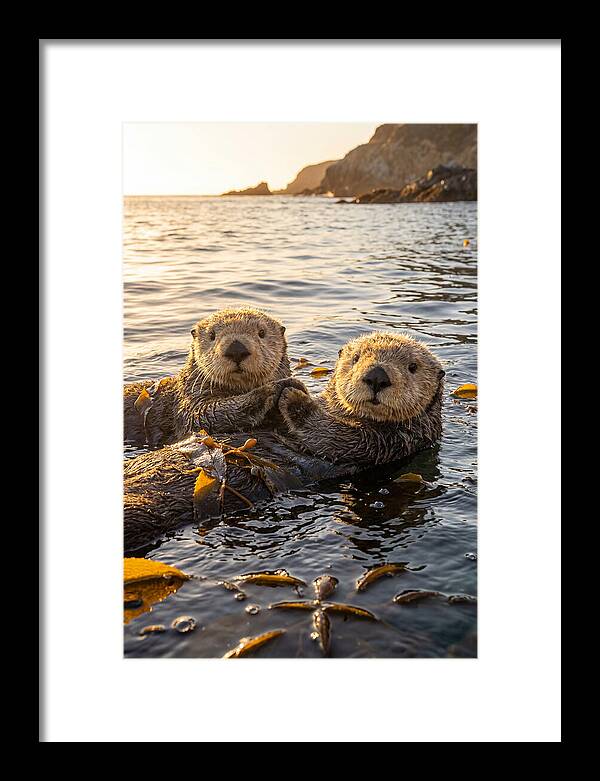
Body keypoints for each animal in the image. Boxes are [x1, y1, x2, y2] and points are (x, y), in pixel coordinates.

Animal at [123, 332, 445, 549]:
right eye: (356, 359)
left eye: (412, 367)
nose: (377, 376)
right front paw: (281, 387)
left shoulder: (387, 443)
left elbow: (331, 435)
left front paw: (292, 395)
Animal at [124, 307, 301, 447]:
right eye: (212, 335)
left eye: (262, 333)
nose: (236, 349)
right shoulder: (189, 402)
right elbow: (204, 415)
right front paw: (275, 388)